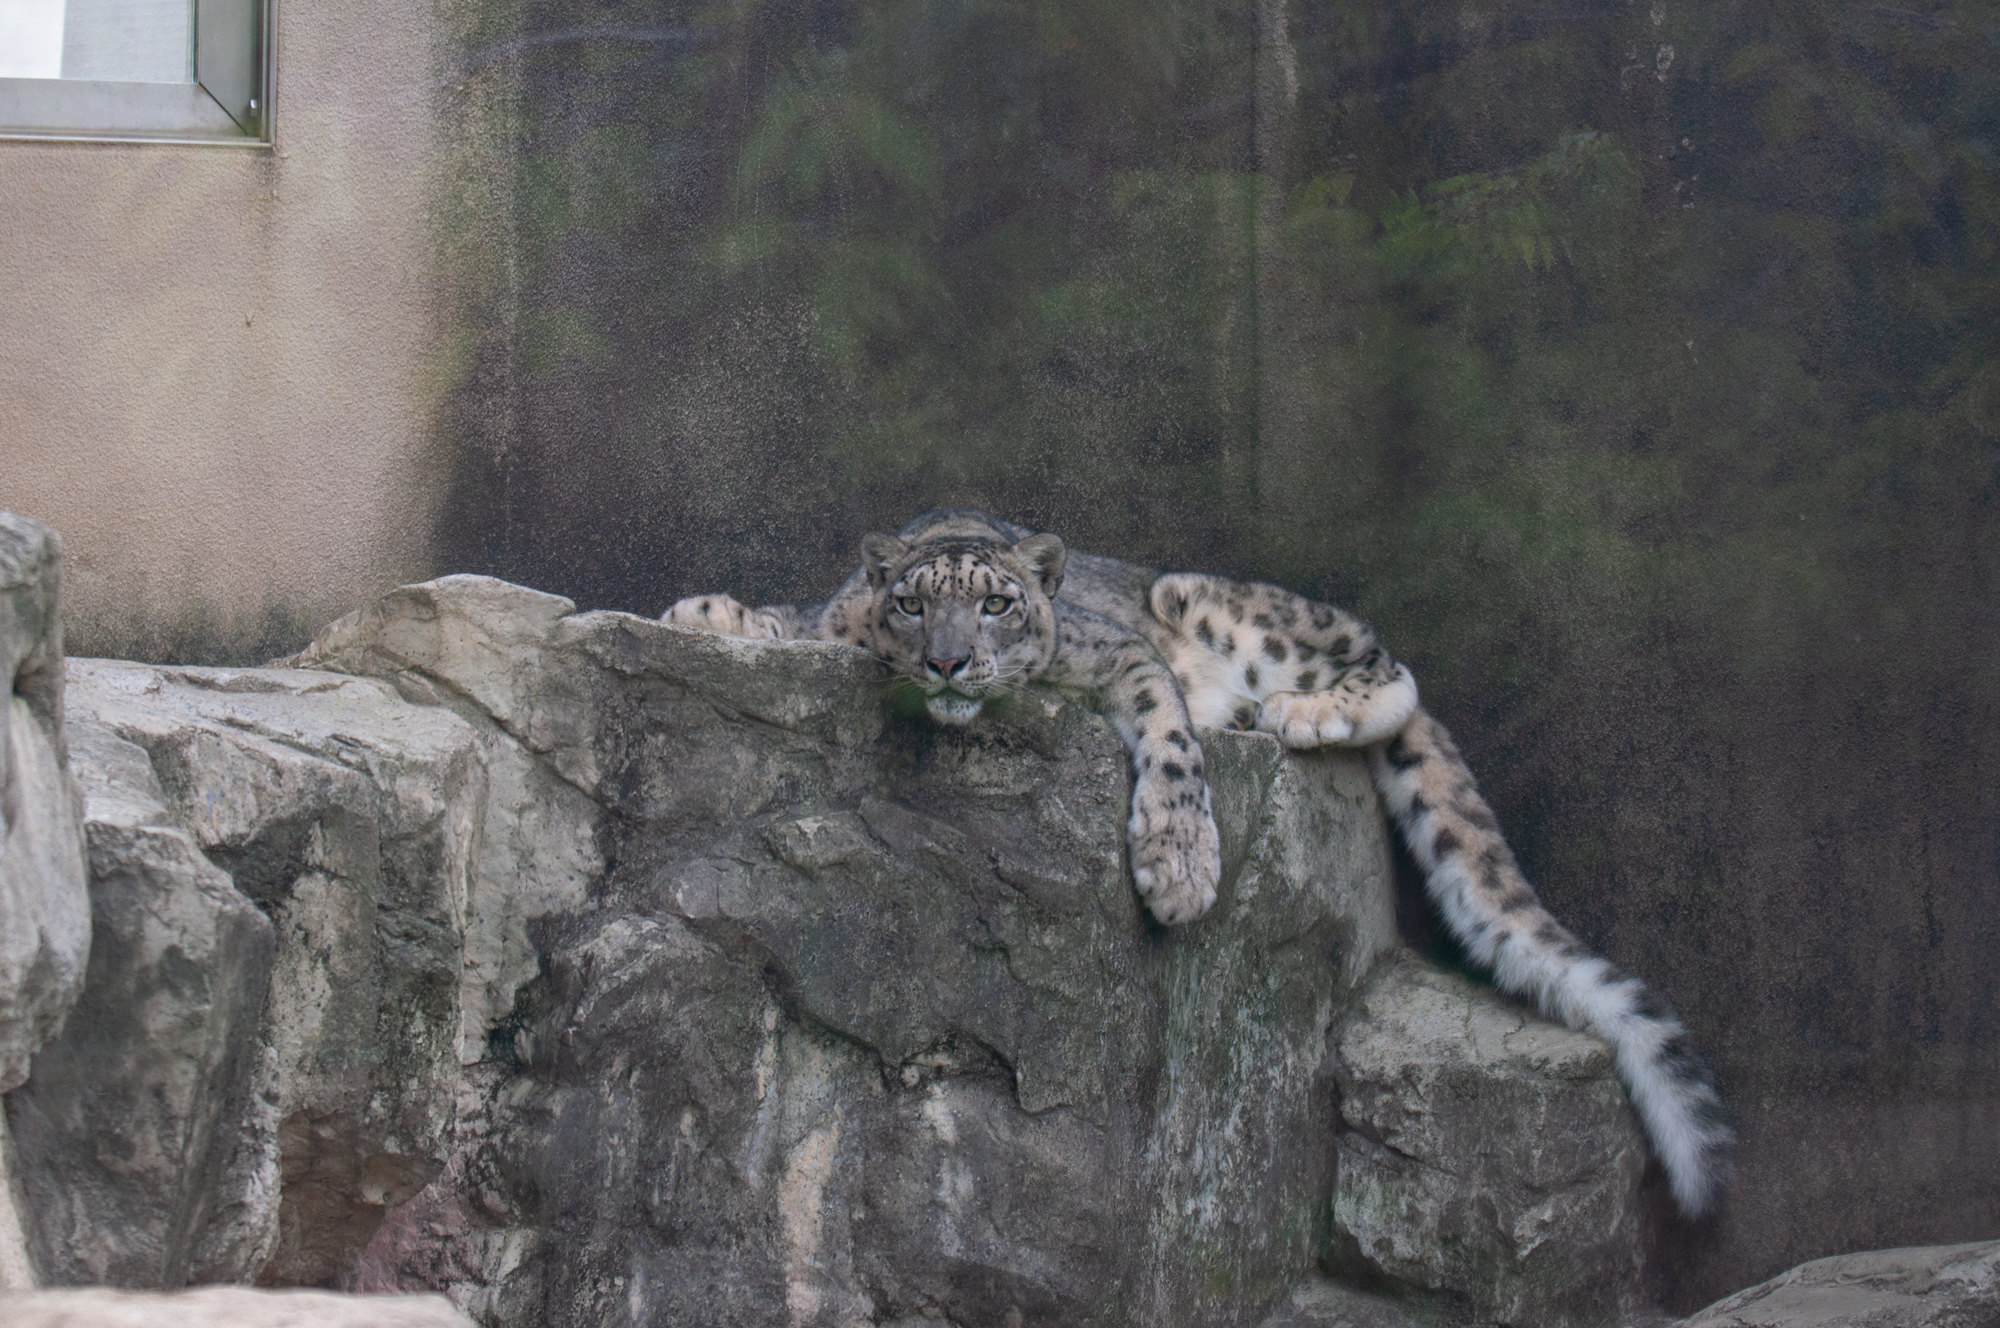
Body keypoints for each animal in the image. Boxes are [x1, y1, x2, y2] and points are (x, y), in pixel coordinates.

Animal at [664, 512, 1728, 1216]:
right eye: (912, 605)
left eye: (999, 604)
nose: (950, 664)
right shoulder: (830, 626)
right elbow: (787, 621)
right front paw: (701, 611)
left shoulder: (1121, 655)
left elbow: (1170, 736)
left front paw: (1178, 870)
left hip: (1230, 606)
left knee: (1389, 671)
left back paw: (1298, 712)